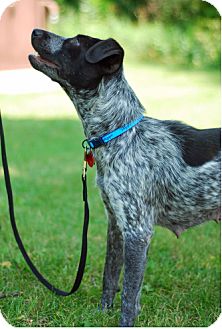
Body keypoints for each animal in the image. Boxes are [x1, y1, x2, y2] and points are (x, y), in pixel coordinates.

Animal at [28, 28, 221, 326]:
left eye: (75, 41)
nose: (36, 31)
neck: (121, 134)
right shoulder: (117, 224)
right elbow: (111, 277)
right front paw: (102, 313)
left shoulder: (138, 231)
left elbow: (129, 295)